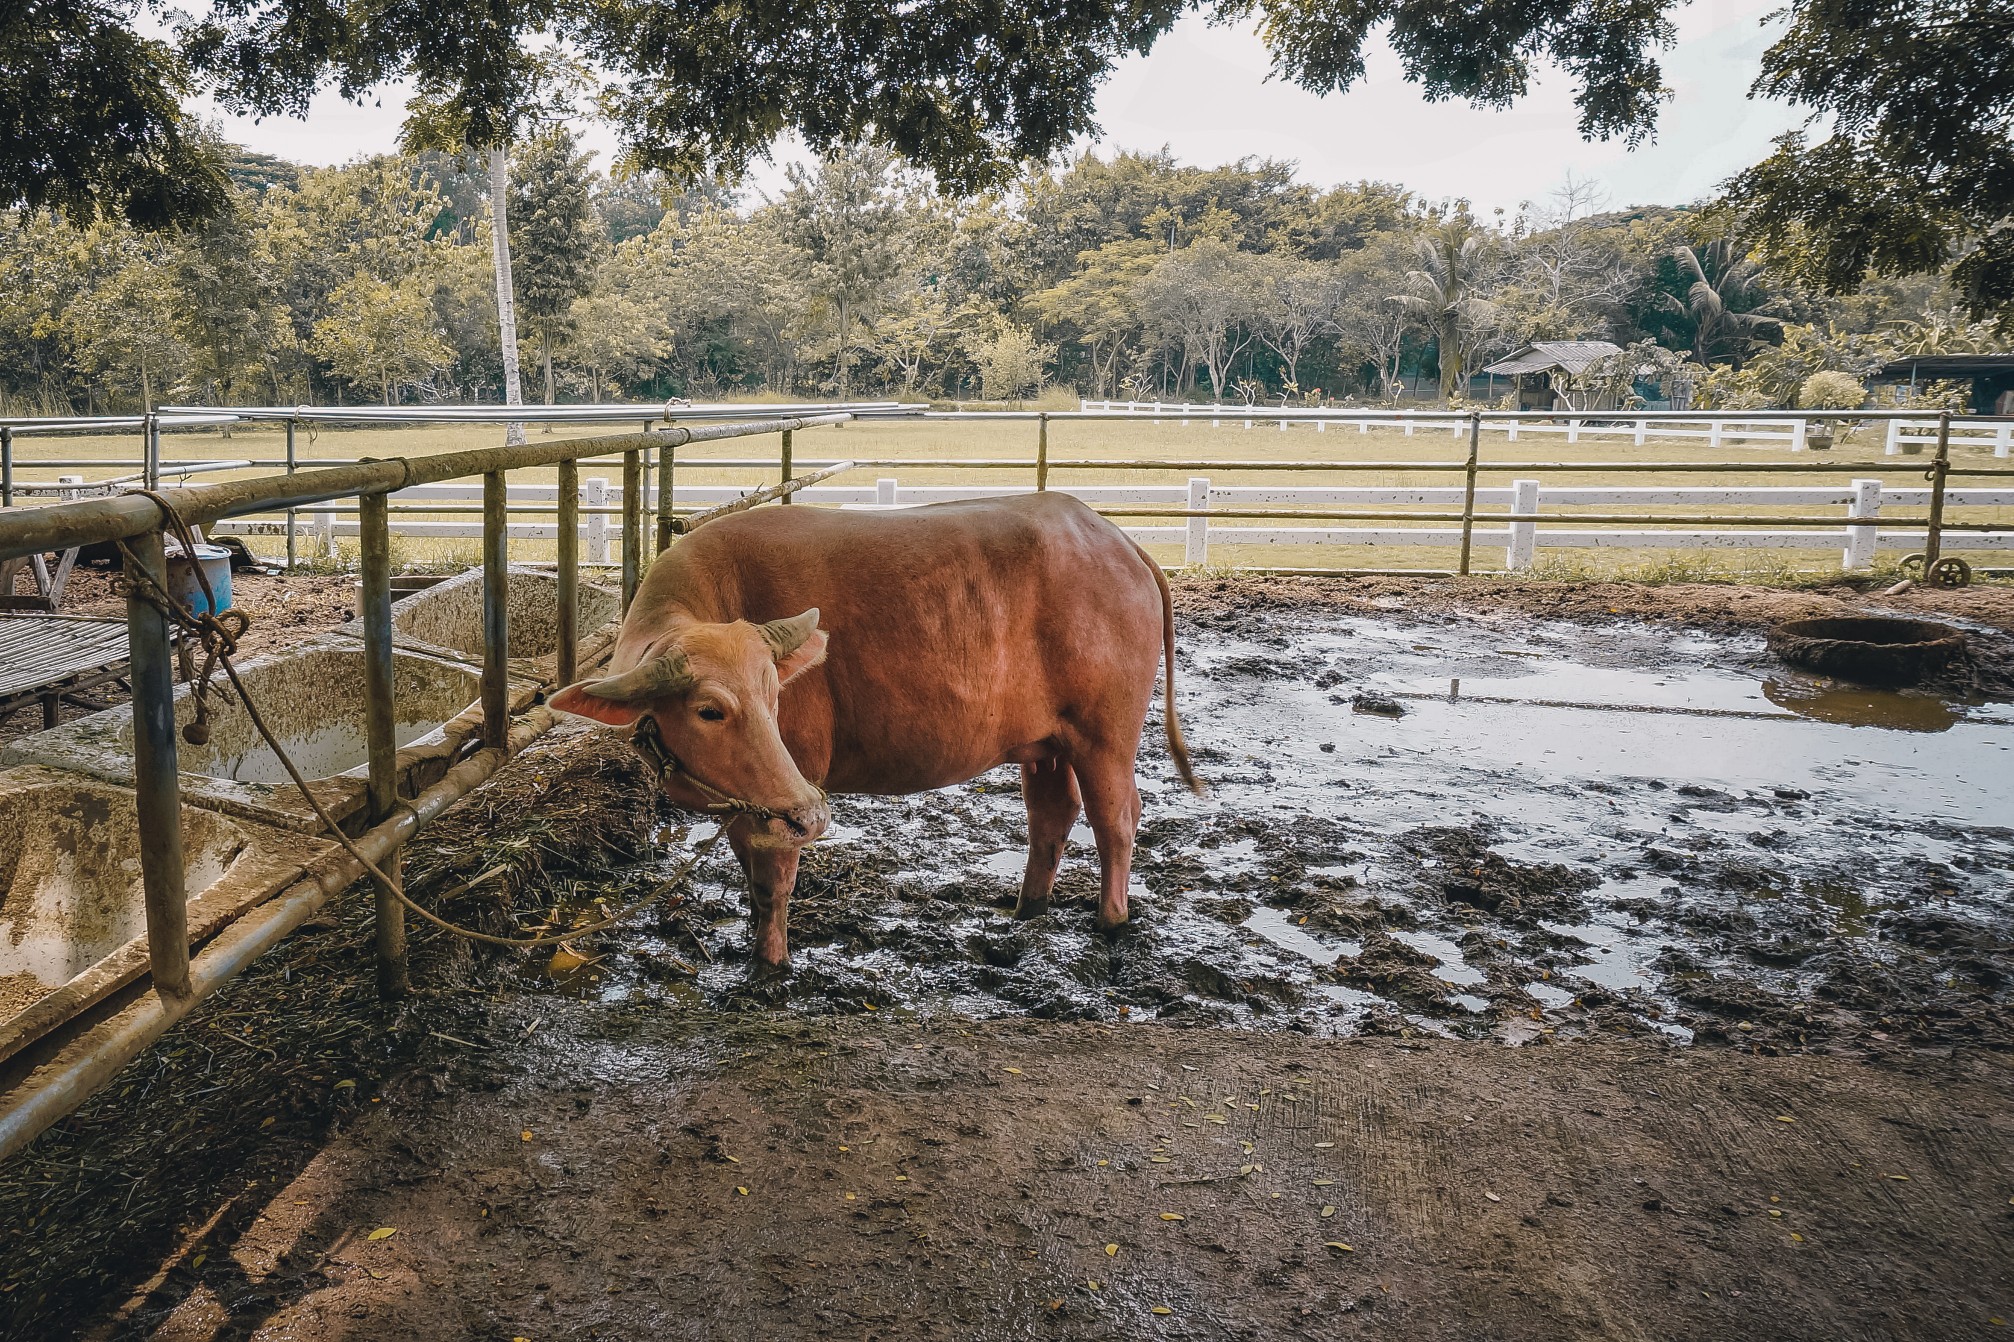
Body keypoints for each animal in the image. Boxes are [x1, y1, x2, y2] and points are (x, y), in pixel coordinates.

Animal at [547, 491, 1192, 971]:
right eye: (709, 710)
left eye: (774, 695)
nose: (811, 813)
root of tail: (1119, 541)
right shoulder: (753, 801)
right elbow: (750, 874)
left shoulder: (792, 780)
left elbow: (773, 880)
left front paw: (769, 967)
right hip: (1047, 743)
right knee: (1053, 812)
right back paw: (1026, 909)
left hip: (1105, 734)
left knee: (1117, 816)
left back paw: (1110, 921)